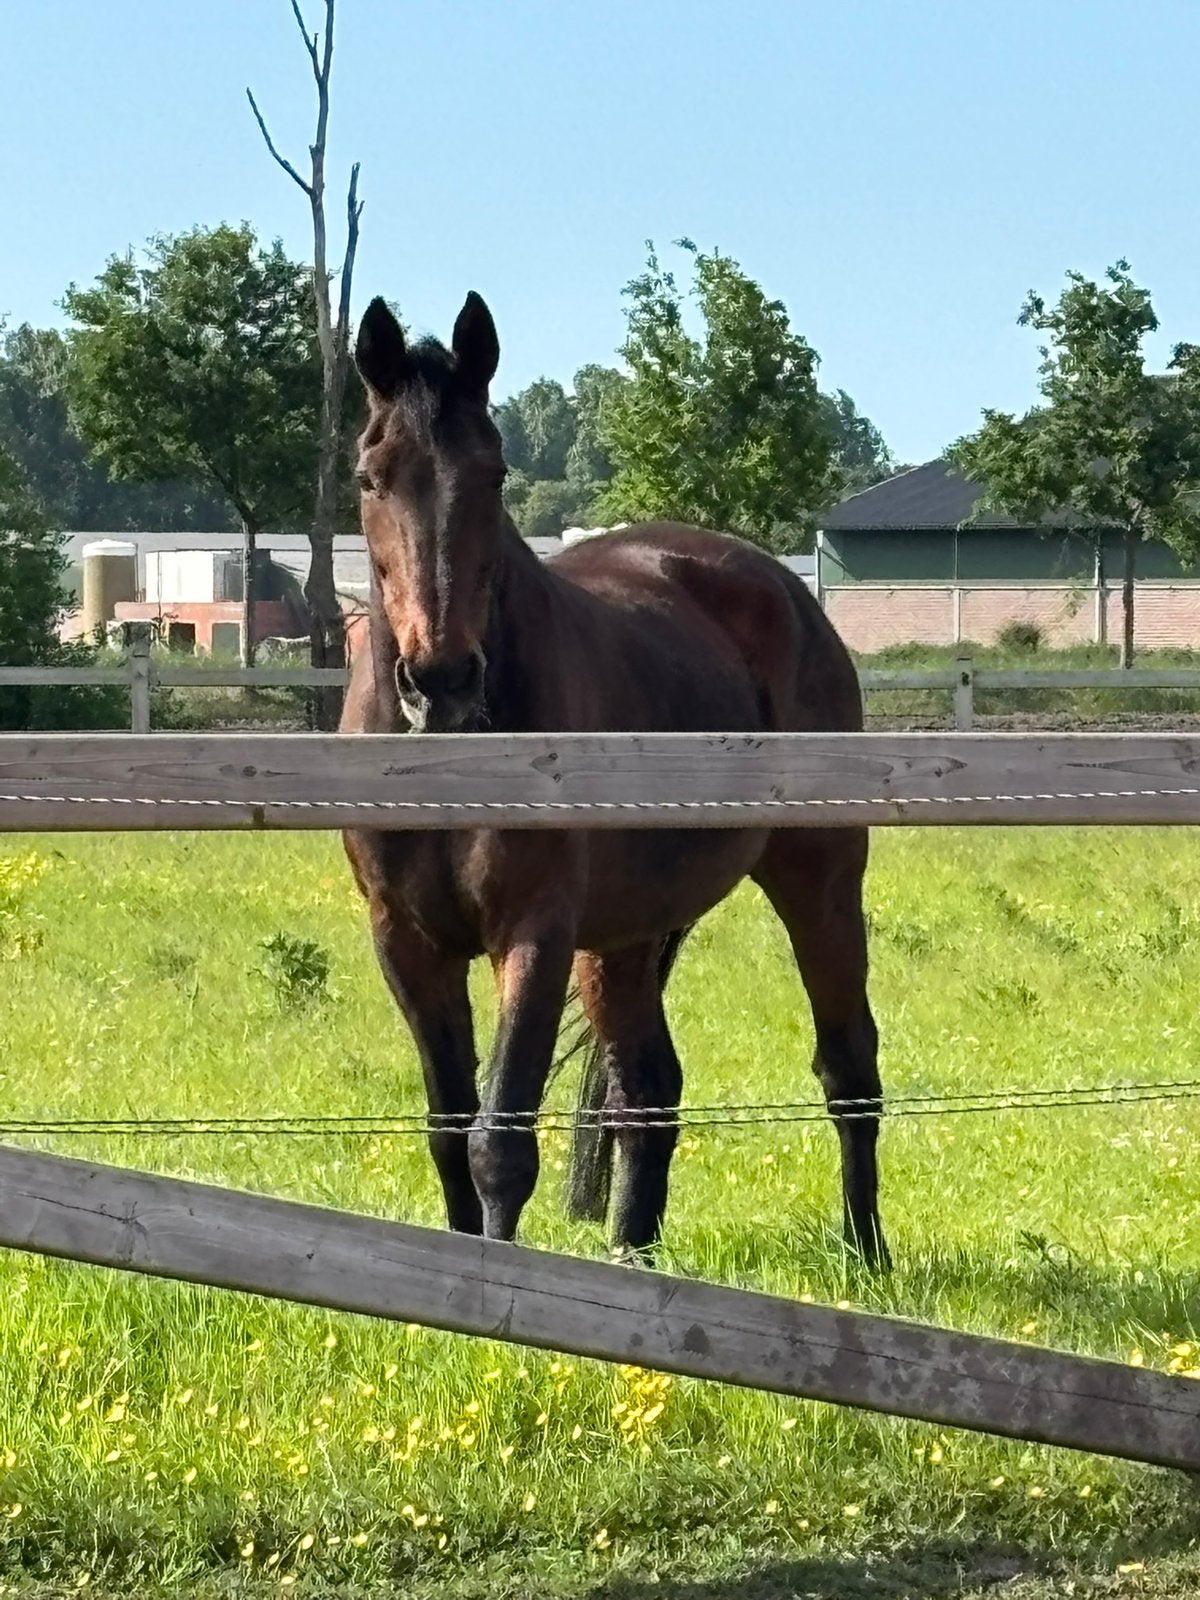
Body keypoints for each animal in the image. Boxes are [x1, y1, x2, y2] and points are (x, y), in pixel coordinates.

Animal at [340, 291, 889, 1269]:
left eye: (493, 474)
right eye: (372, 477)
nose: (442, 680)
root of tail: (784, 588)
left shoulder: (535, 932)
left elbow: (499, 1141)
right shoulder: (406, 941)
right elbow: (447, 1128)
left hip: (817, 877)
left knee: (847, 1061)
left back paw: (867, 1254)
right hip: (628, 938)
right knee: (650, 1086)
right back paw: (633, 1256)